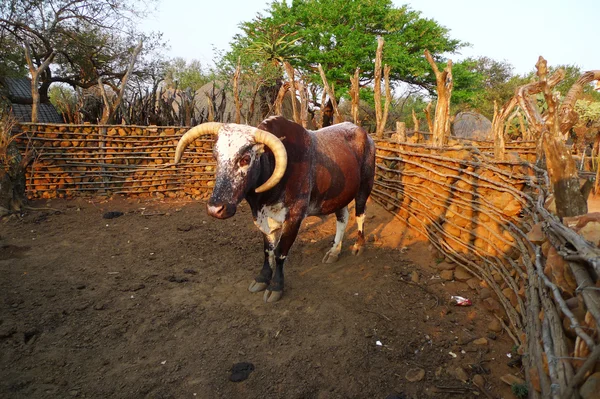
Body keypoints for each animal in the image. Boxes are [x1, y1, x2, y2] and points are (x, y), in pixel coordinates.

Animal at [173, 115, 376, 304]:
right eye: (216, 157)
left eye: (245, 159)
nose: (215, 209)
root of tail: (363, 133)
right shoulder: (264, 218)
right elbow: (267, 250)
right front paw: (262, 278)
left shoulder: (294, 217)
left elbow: (280, 253)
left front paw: (276, 286)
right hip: (339, 197)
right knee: (342, 219)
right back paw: (334, 251)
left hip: (364, 188)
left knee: (360, 215)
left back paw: (359, 246)